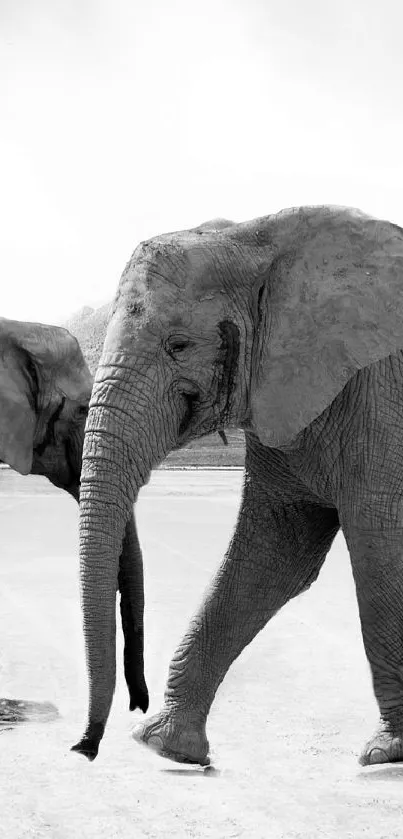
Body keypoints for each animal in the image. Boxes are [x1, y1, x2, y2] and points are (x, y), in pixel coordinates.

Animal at [72, 205, 403, 768]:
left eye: (178, 345)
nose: (85, 748)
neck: (255, 240)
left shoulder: (377, 392)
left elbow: (381, 548)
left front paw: (388, 752)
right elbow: (274, 551)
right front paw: (166, 746)